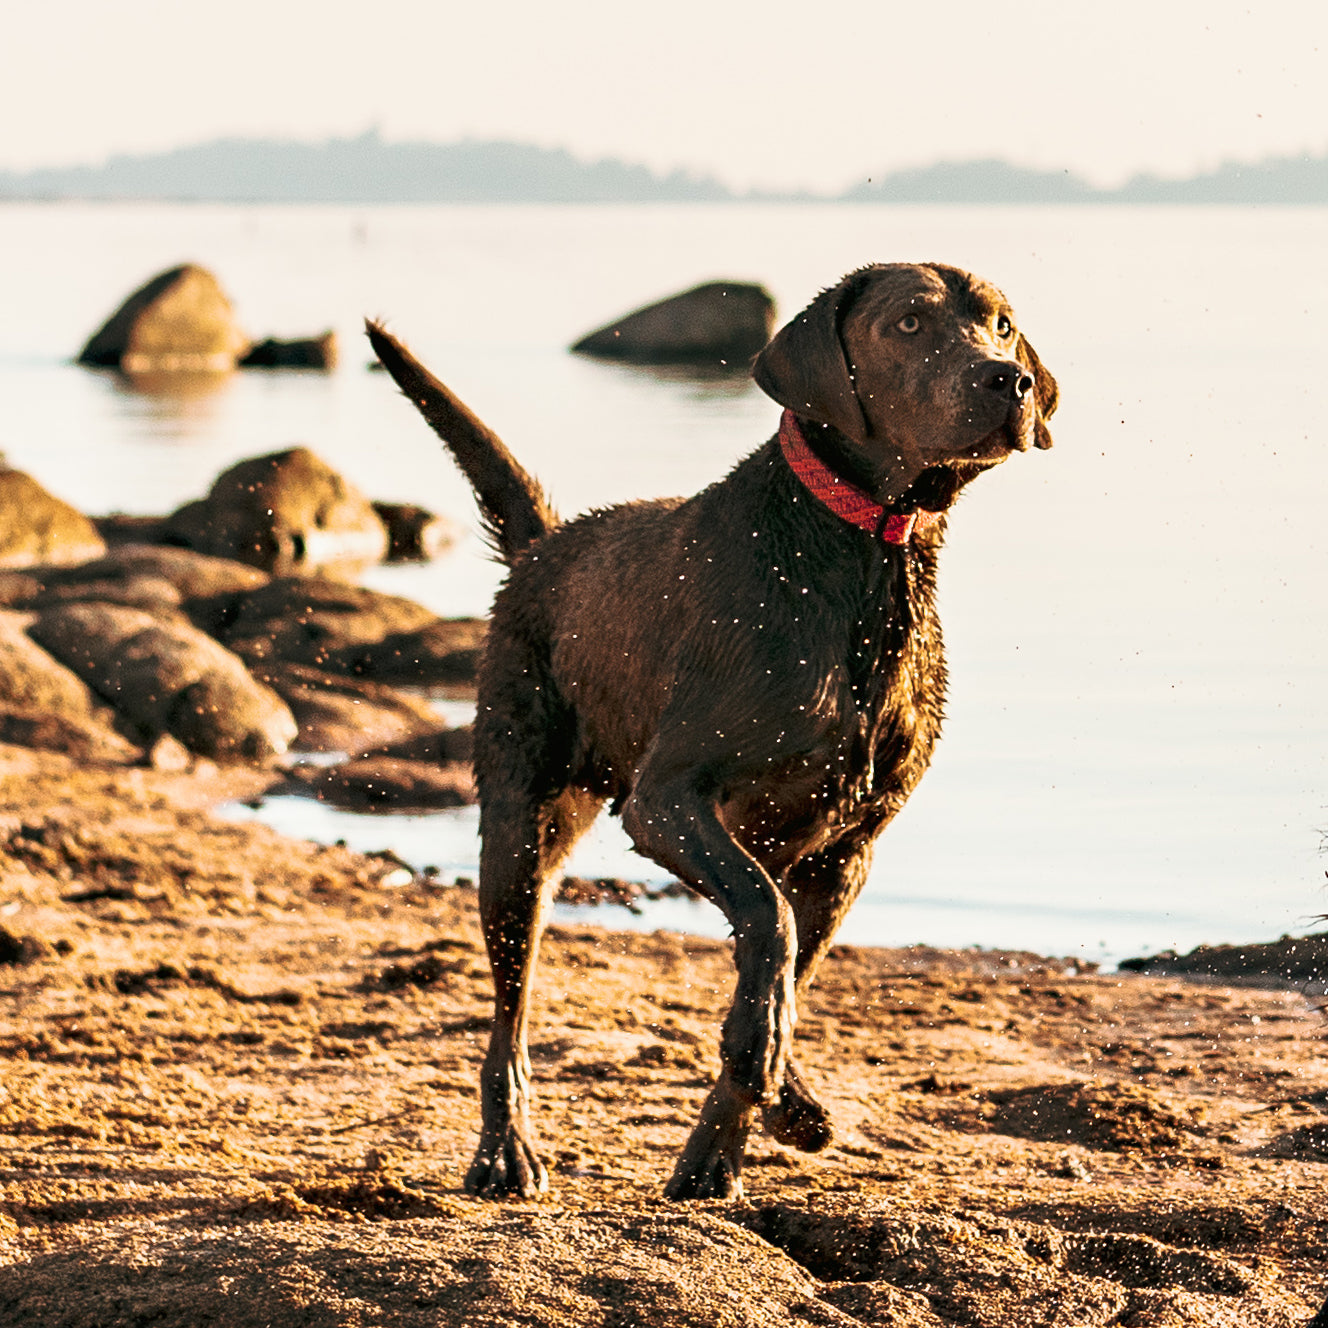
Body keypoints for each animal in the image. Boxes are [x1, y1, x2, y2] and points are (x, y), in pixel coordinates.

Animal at [366, 261, 1057, 1205]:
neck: (860, 556)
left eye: (1002, 323)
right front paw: (745, 1090)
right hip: (521, 828)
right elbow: (770, 924)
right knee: (510, 1011)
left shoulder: (852, 846)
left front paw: (738, 1133)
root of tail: (544, 547)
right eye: (910, 323)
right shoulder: (666, 802)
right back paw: (505, 1151)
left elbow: (787, 959)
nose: (1008, 379)